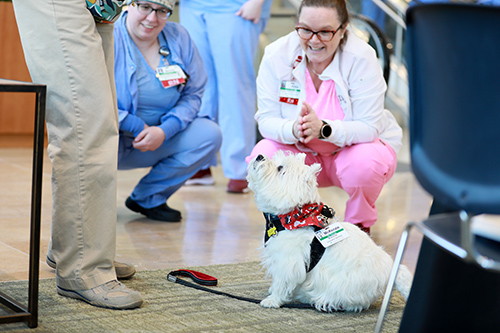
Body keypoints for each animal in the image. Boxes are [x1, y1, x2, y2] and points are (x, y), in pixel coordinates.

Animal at [247, 150, 414, 312]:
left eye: (280, 168)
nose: (259, 156)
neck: (294, 217)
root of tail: (391, 270)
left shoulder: (288, 262)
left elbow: (282, 282)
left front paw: (272, 300)